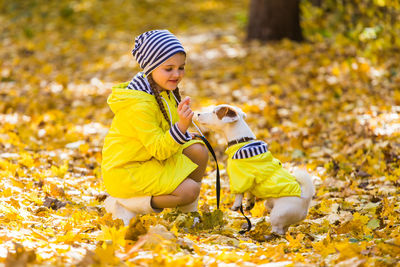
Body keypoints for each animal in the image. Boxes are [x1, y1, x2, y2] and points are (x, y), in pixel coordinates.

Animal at [195, 104, 314, 237]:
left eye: (215, 112)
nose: (198, 114)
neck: (241, 141)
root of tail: (305, 199)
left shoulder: (240, 178)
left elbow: (239, 194)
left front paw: (236, 206)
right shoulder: (251, 182)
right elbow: (250, 193)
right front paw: (249, 204)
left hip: (278, 214)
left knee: (278, 230)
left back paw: (268, 235)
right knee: (284, 228)